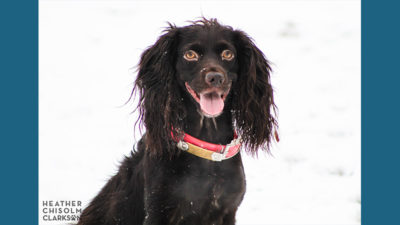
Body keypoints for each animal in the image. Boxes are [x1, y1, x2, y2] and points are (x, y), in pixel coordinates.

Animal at [78, 18, 278, 225]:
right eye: (190, 55)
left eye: (228, 54)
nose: (215, 77)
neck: (207, 149)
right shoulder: (158, 211)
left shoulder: (227, 210)